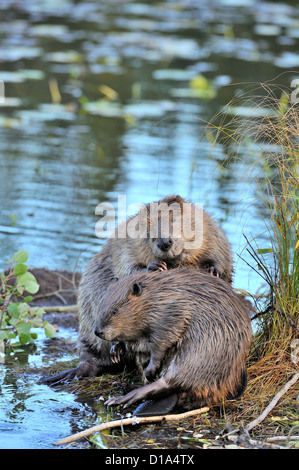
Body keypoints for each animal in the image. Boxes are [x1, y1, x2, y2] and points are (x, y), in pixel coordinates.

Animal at [40, 193, 234, 384]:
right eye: (148, 230)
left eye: (173, 219)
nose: (164, 242)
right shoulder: (124, 244)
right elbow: (127, 268)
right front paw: (155, 266)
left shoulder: (211, 230)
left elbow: (220, 254)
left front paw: (213, 271)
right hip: (89, 323)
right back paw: (109, 354)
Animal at [96, 268, 253, 414]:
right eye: (101, 305)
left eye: (115, 311)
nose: (98, 331)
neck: (157, 296)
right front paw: (115, 351)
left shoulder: (172, 312)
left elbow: (162, 342)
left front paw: (150, 370)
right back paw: (124, 385)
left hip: (202, 351)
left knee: (170, 382)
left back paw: (123, 397)